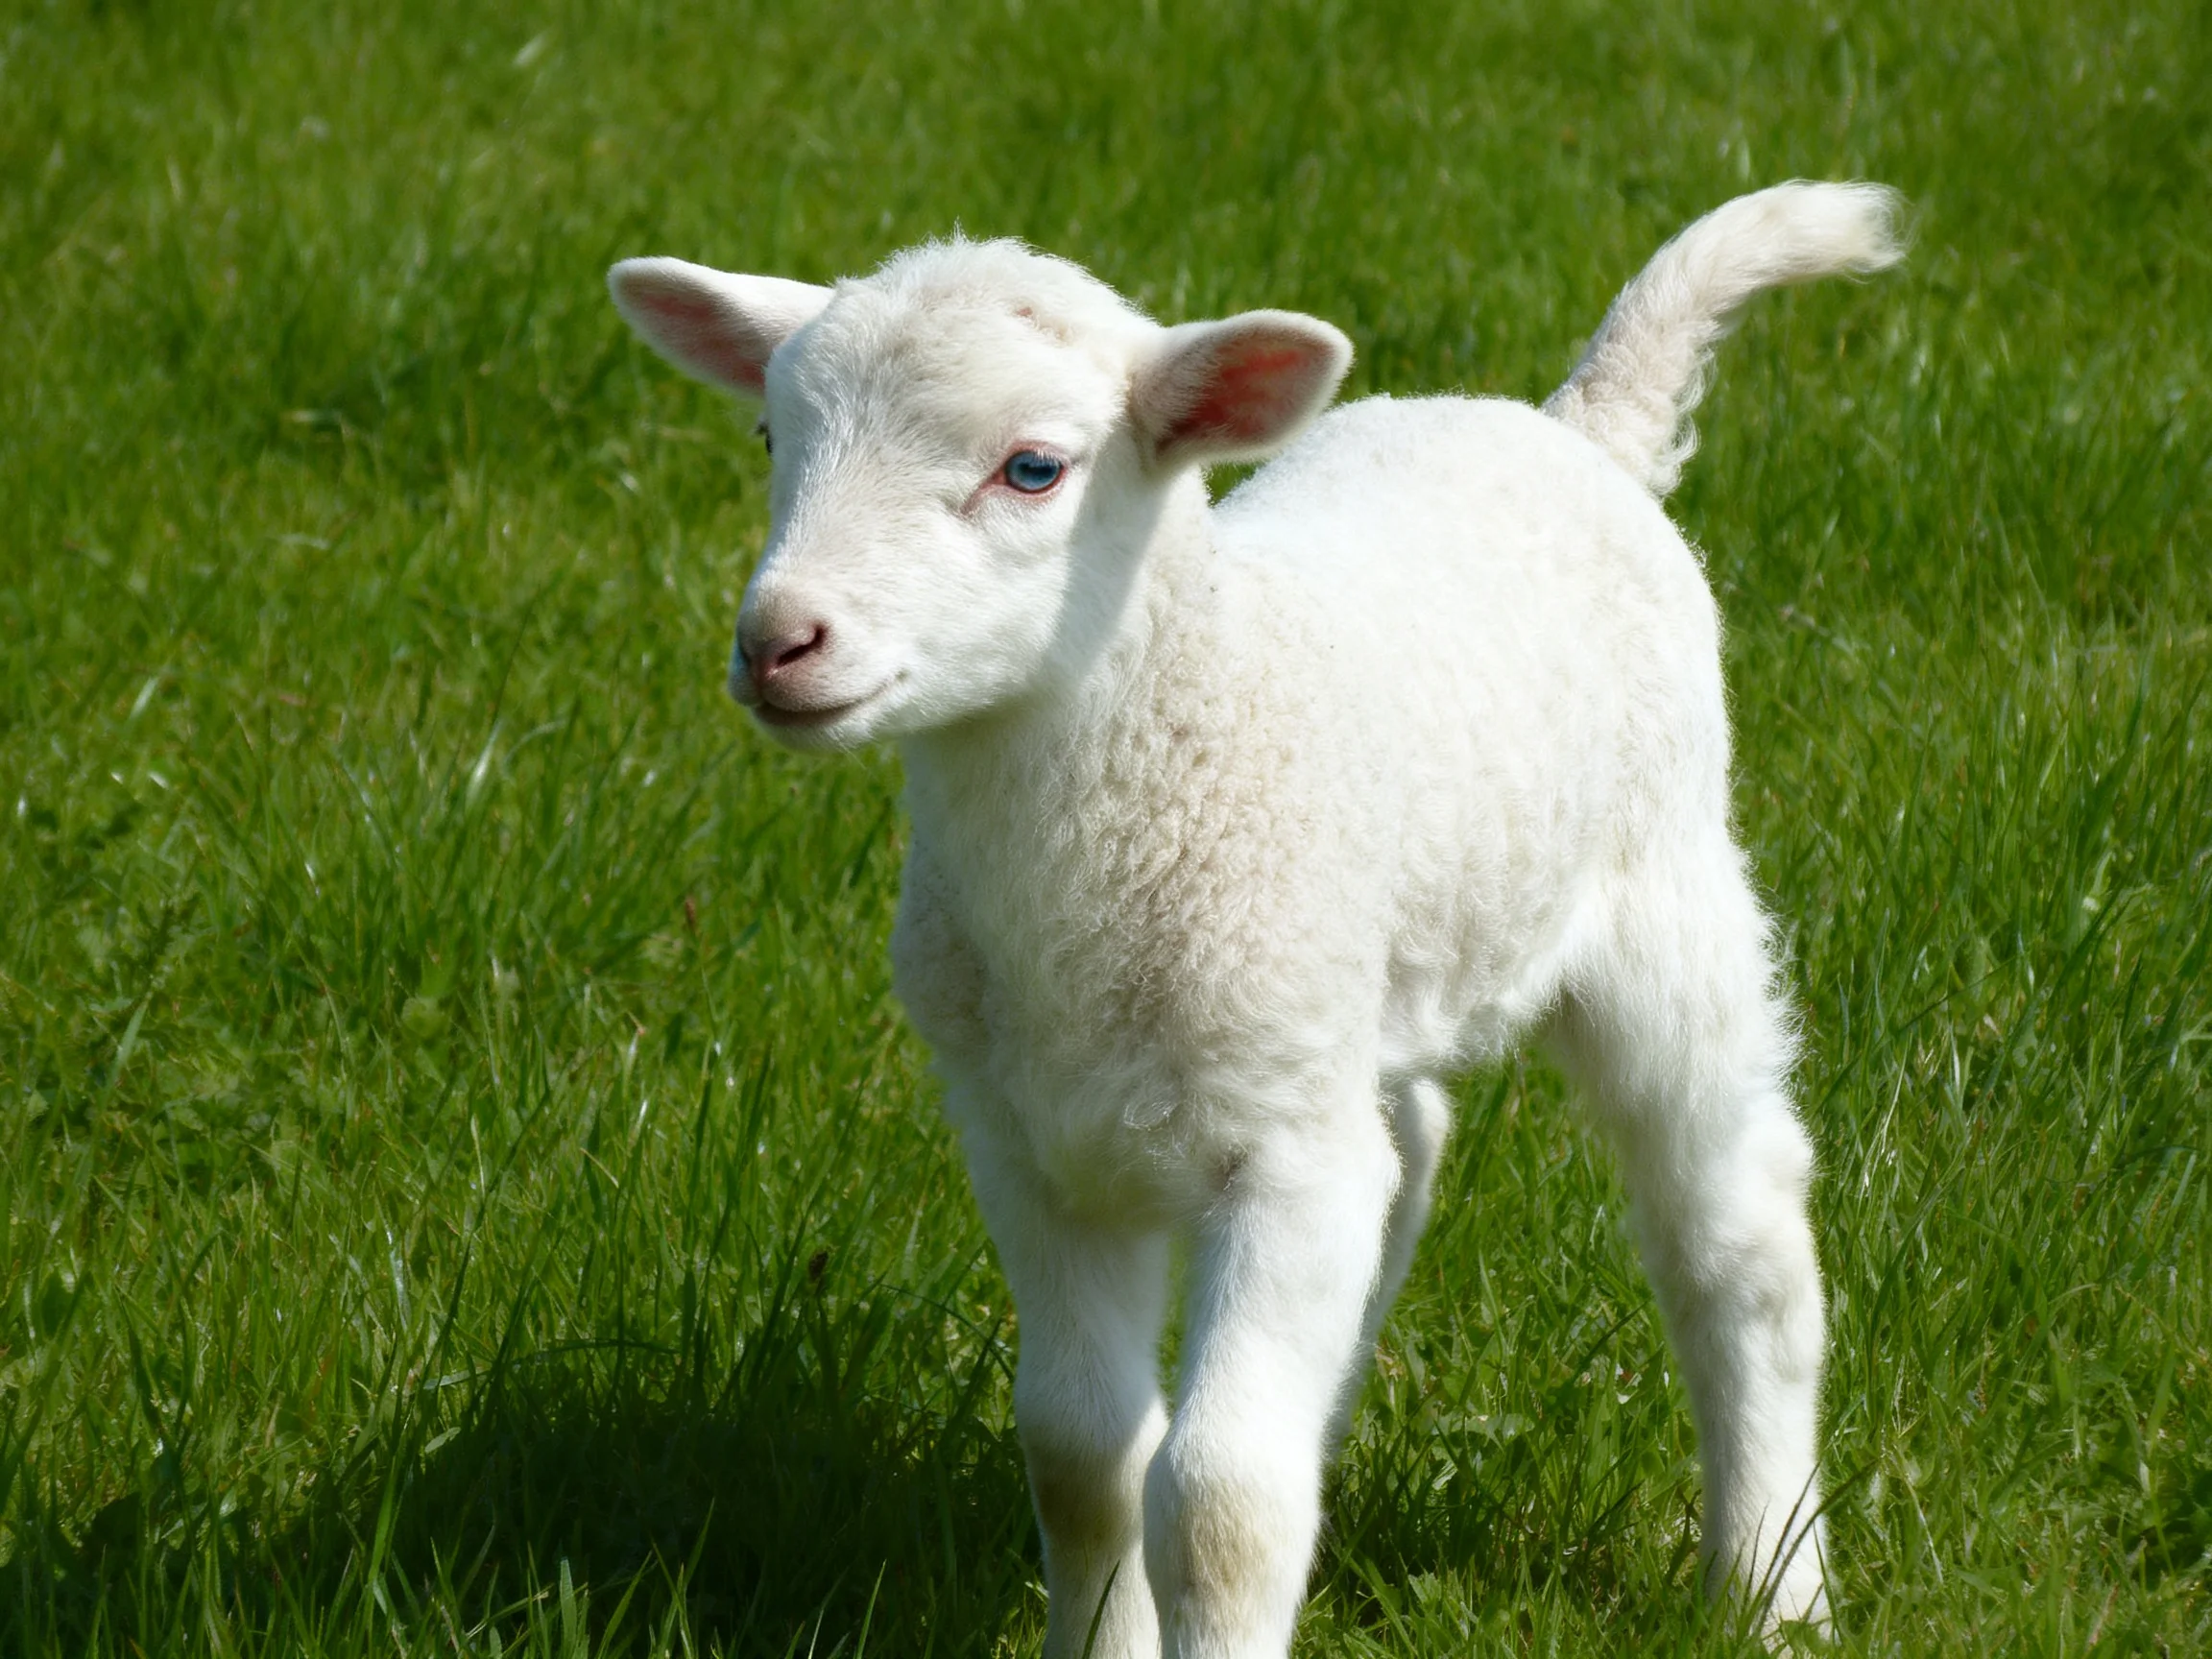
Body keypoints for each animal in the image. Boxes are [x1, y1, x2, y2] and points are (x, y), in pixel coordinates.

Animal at [608, 180, 1904, 1656]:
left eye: (1034, 469)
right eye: (774, 434)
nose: (778, 642)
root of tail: (1575, 427)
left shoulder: (1280, 1156)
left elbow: (1222, 1498)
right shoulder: (1027, 1137)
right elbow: (1082, 1453)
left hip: (1663, 898)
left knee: (1736, 1241)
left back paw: (1772, 1585)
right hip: (1344, 1008)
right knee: (1408, 1156)